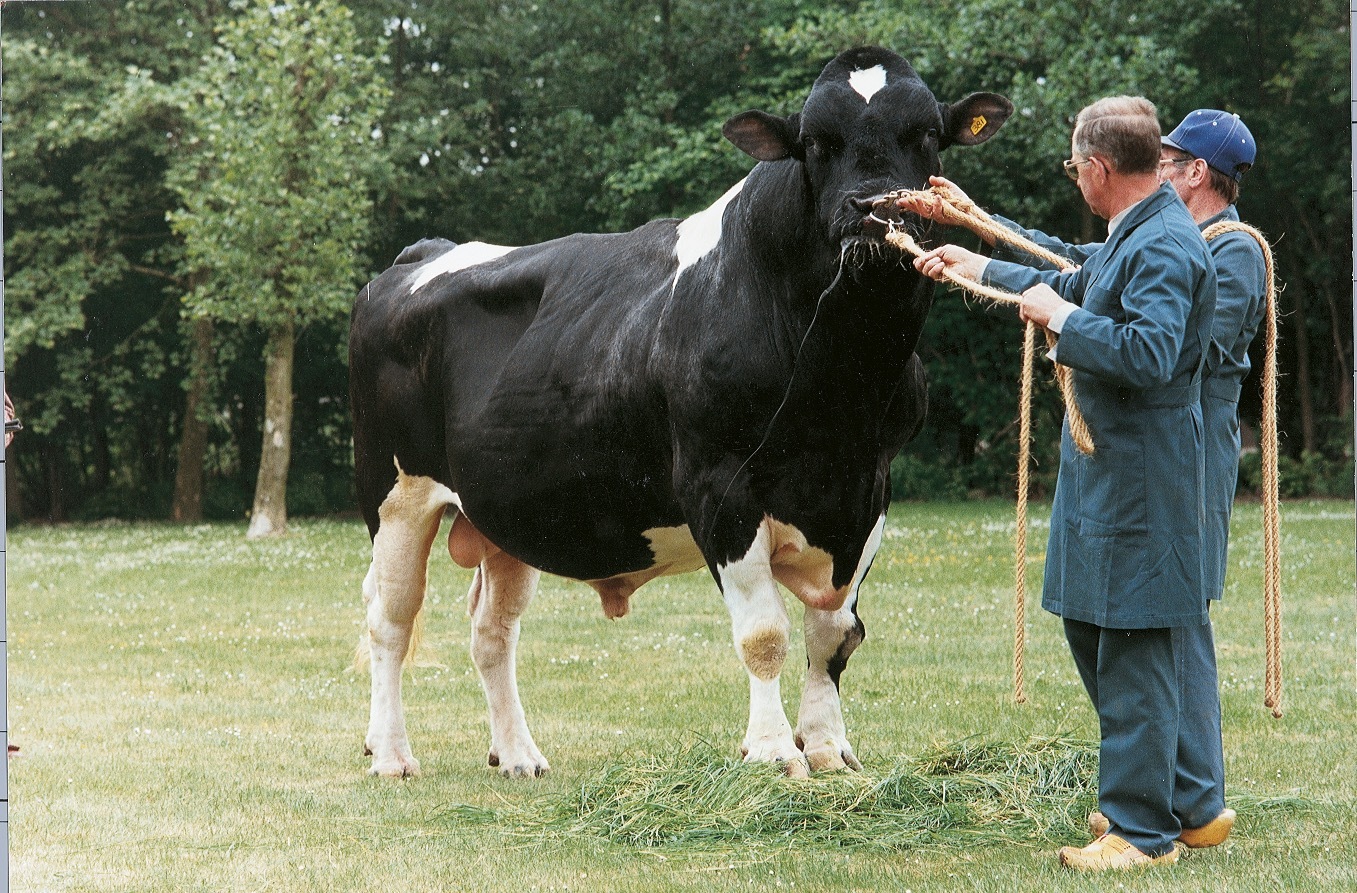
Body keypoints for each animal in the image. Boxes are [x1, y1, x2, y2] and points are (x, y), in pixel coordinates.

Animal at [350, 46, 1009, 770]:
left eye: (924, 134)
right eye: (815, 142)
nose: (871, 207)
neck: (841, 383)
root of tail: (422, 253)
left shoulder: (867, 490)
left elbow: (835, 631)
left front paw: (829, 748)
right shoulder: (718, 484)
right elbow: (763, 633)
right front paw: (773, 751)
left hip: (504, 511)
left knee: (493, 629)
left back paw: (518, 754)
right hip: (395, 493)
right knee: (390, 618)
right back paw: (391, 753)